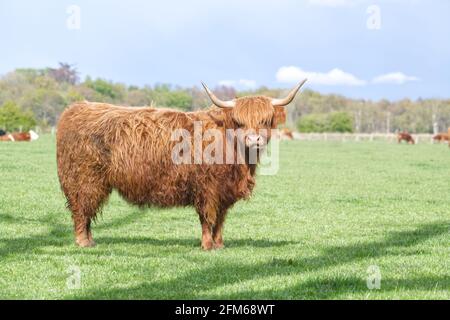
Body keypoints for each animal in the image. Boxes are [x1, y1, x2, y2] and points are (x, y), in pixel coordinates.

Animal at [56, 79, 308, 250]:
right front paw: (207, 245)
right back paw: (83, 242)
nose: (254, 139)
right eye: (239, 121)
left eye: (265, 121)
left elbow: (220, 220)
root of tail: (75, 109)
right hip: (84, 181)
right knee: (82, 211)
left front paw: (219, 244)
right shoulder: (207, 188)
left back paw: (90, 240)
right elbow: (208, 217)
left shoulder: (224, 191)